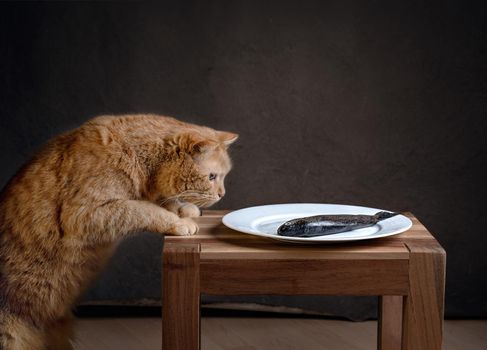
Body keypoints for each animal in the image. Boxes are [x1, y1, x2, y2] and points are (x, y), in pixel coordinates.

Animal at [0, 114, 238, 348]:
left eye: (223, 176)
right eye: (212, 177)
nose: (223, 194)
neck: (134, 155)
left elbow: (160, 202)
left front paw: (183, 209)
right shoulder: (85, 214)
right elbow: (144, 209)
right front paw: (178, 222)